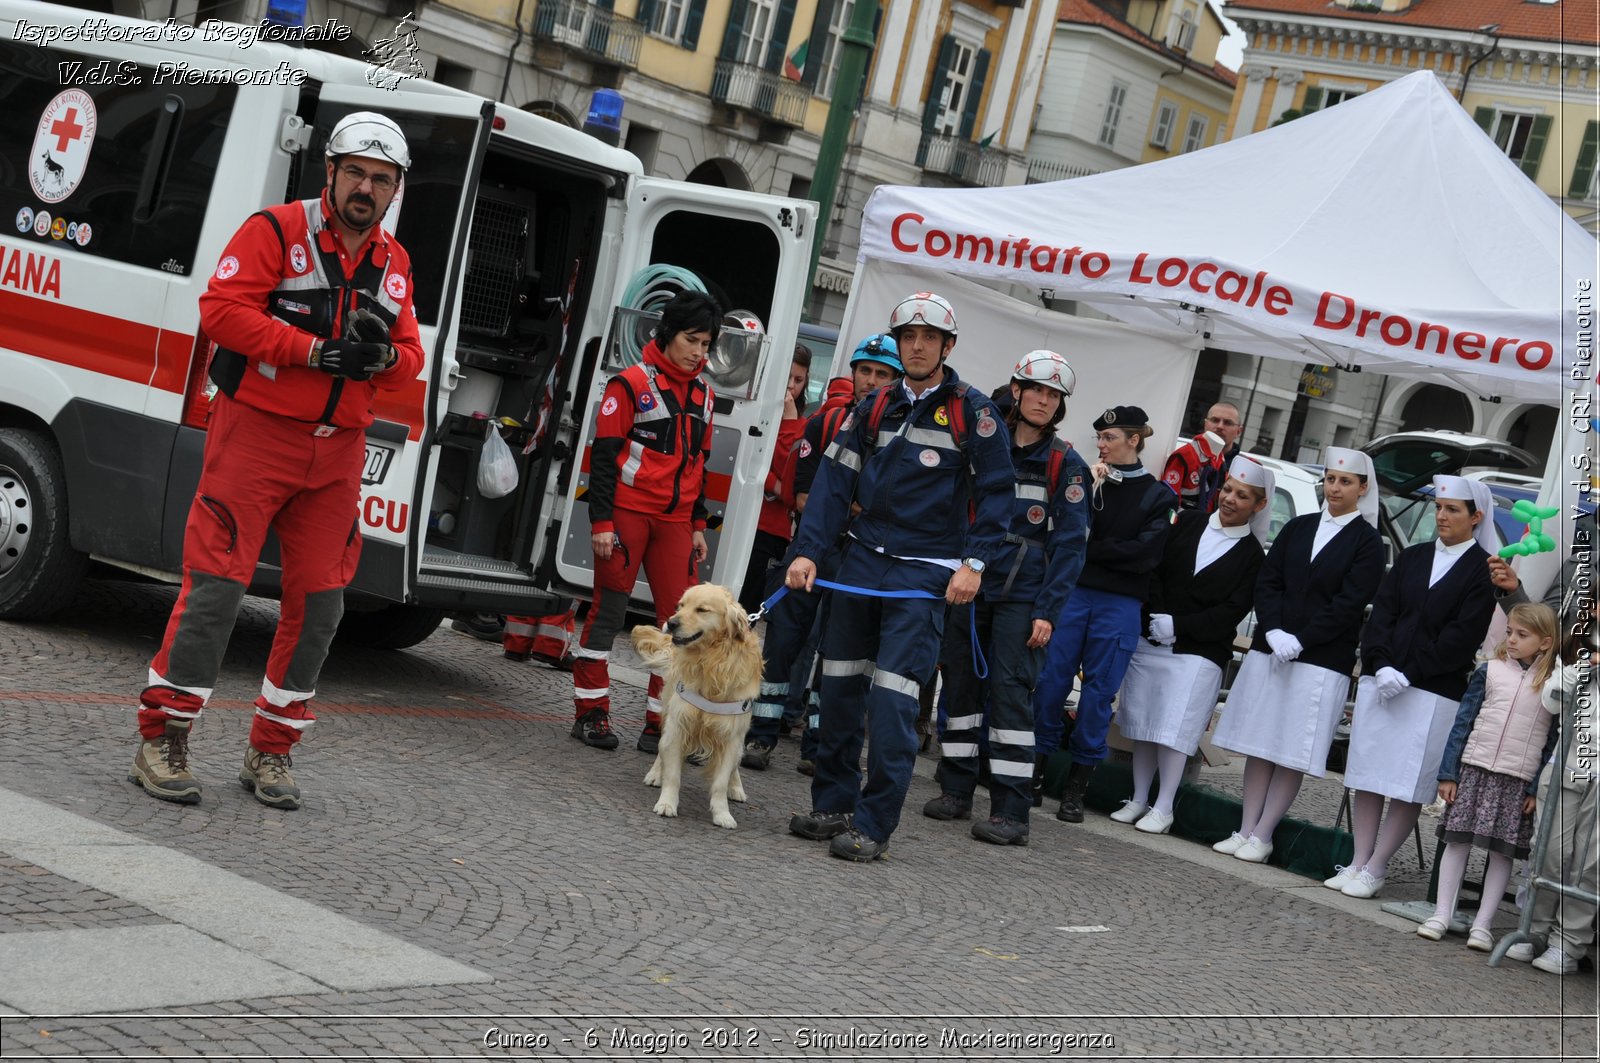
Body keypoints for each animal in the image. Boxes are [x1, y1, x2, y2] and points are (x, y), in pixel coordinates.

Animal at [630, 585, 761, 826]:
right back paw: (655, 774)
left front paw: (722, 814)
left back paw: (736, 788)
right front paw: (667, 803)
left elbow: (721, 781)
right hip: (667, 709)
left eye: (702, 609)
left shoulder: (732, 734)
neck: (711, 661)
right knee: (661, 746)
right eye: (680, 606)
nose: (671, 623)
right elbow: (672, 773)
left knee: (736, 762)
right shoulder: (678, 724)